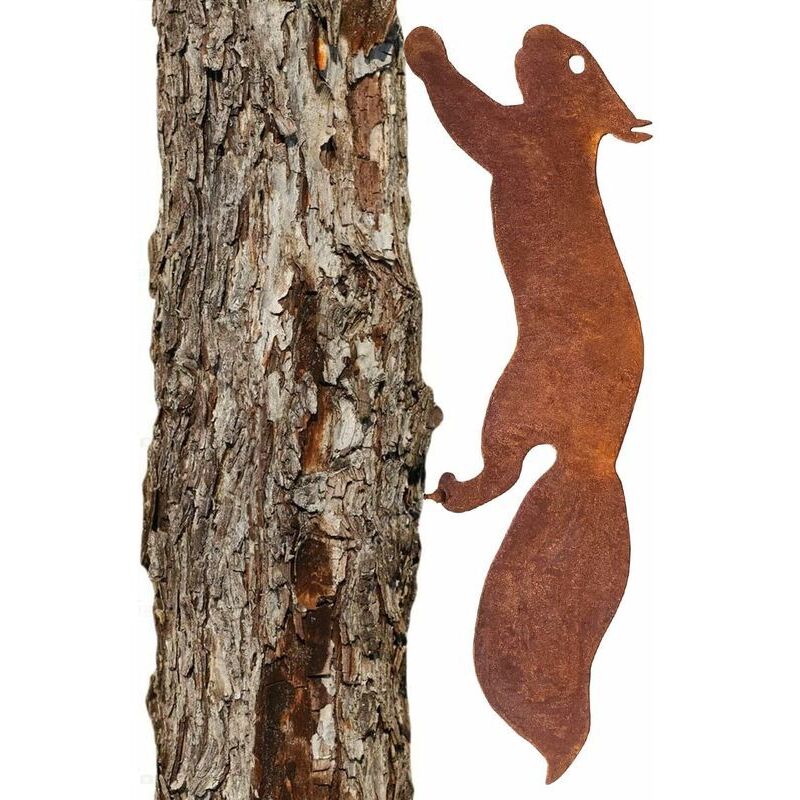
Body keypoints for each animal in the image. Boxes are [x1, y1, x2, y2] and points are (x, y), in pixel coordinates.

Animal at [405, 25, 650, 783]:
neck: (572, 136)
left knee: (503, 473)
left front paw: (424, 48)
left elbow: (471, 117)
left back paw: (448, 489)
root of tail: (595, 458)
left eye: (575, 61)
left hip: (512, 402)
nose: (536, 30)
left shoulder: (518, 140)